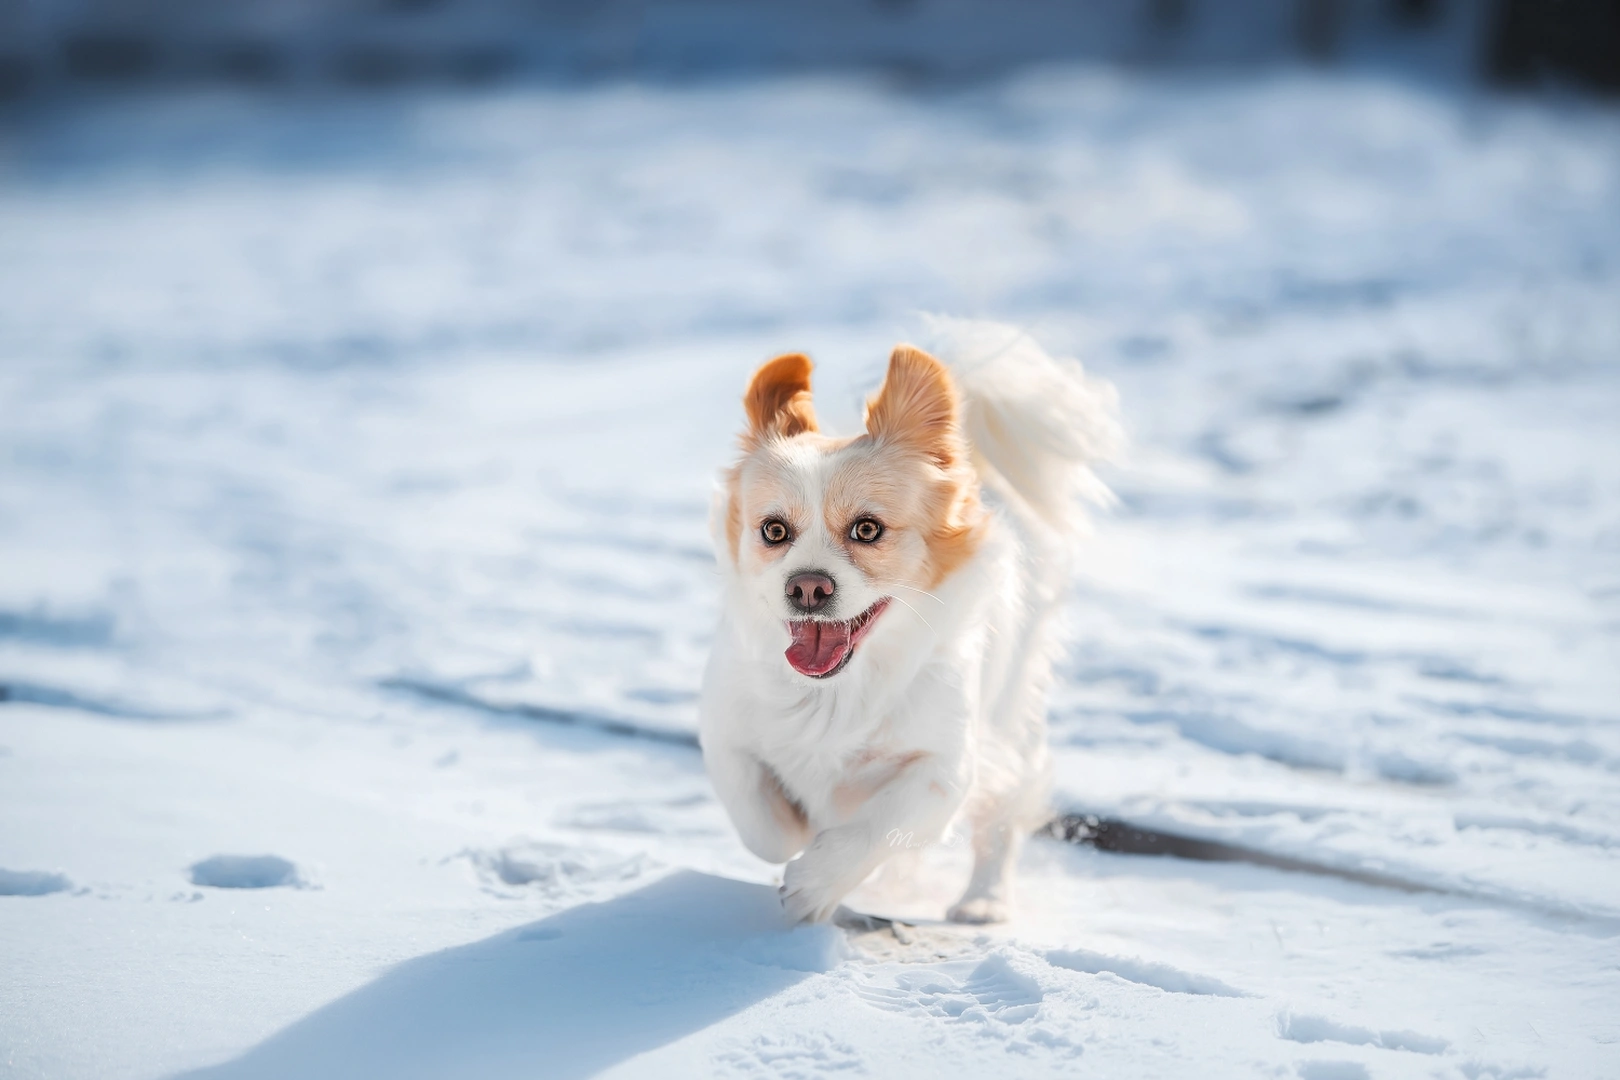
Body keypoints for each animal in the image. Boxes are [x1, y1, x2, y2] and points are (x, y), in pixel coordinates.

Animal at [703, 317, 1121, 926]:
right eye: (773, 531)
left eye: (867, 529)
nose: (807, 586)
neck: (836, 692)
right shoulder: (725, 734)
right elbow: (763, 825)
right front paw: (801, 828)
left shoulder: (944, 769)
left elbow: (878, 827)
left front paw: (815, 881)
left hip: (1012, 719)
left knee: (1002, 816)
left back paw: (983, 902)